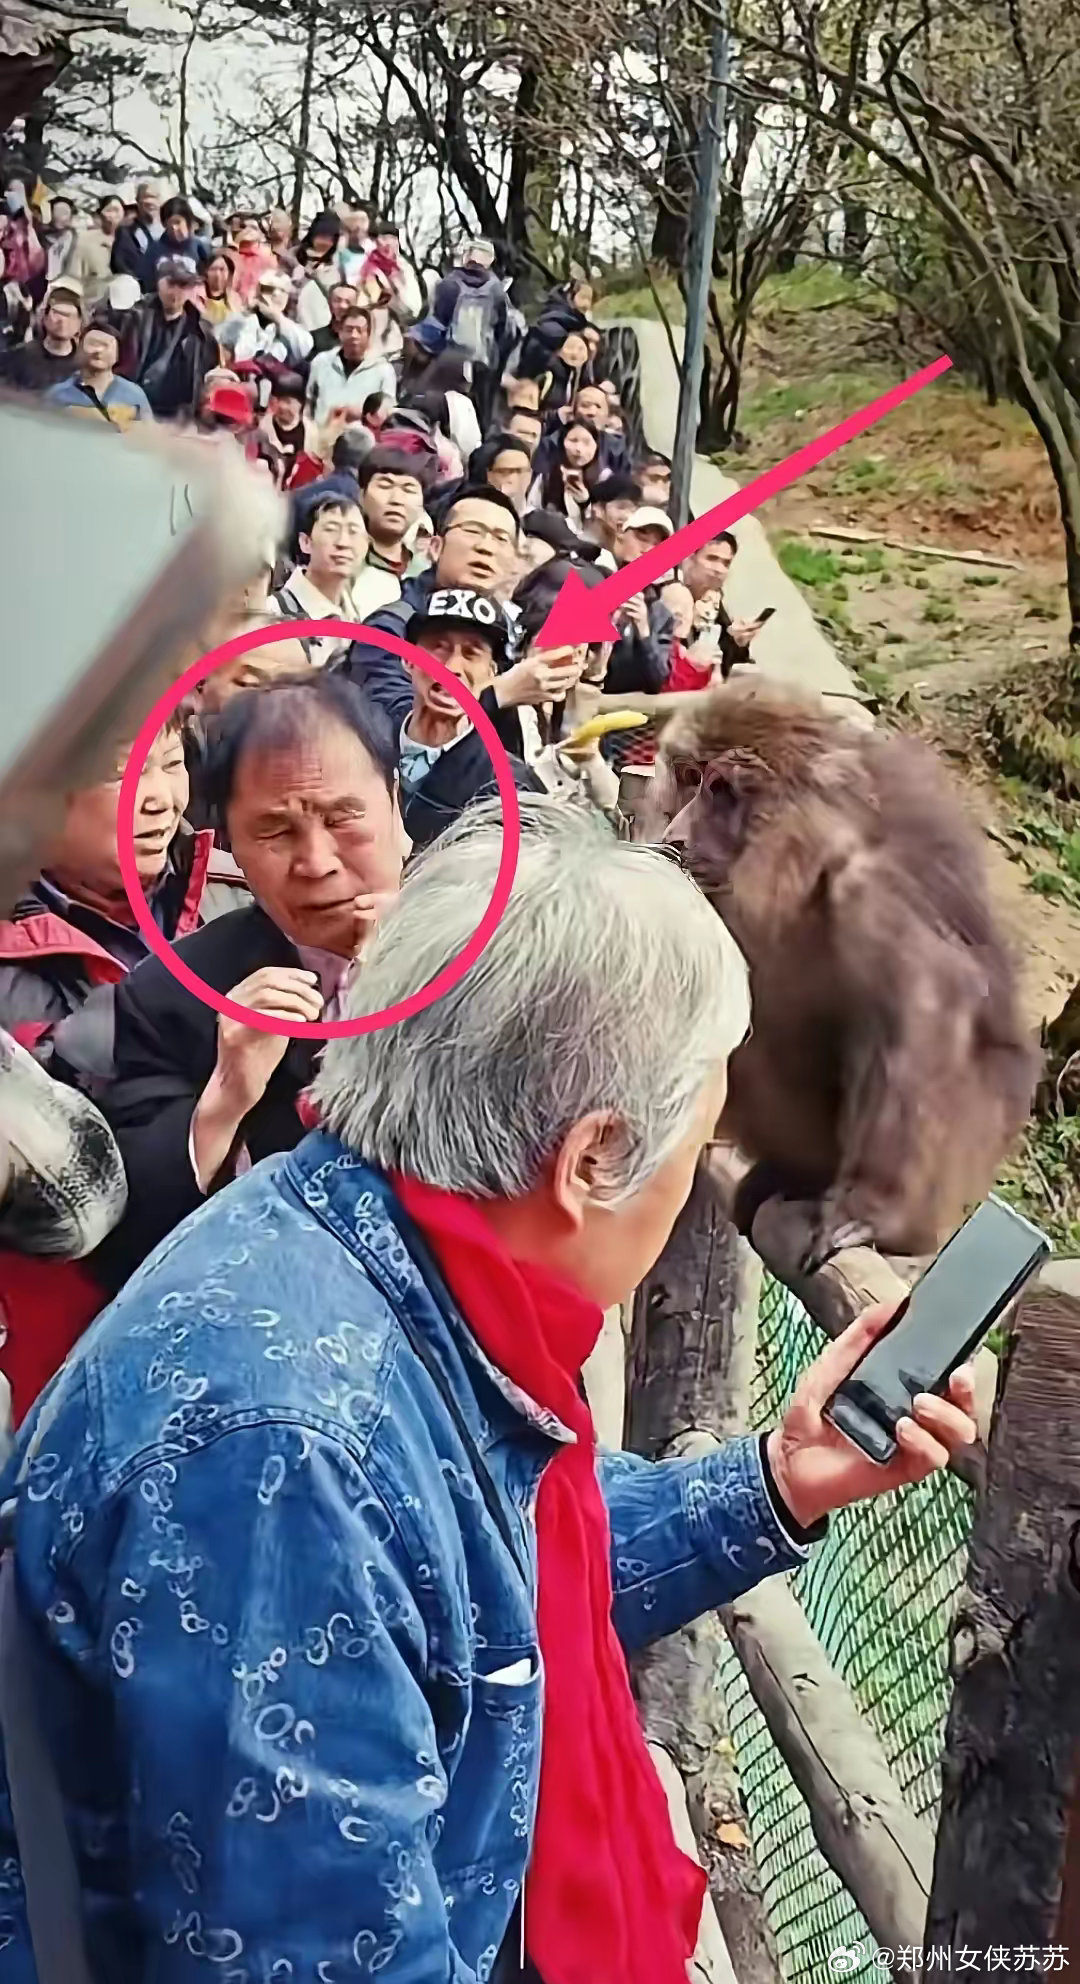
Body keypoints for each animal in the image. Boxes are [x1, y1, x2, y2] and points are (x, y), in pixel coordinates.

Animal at [651, 682, 1040, 1269]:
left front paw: (875, 1208)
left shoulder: (873, 888)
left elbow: (932, 1013)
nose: (676, 837)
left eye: (721, 790)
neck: (801, 866)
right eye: (689, 777)